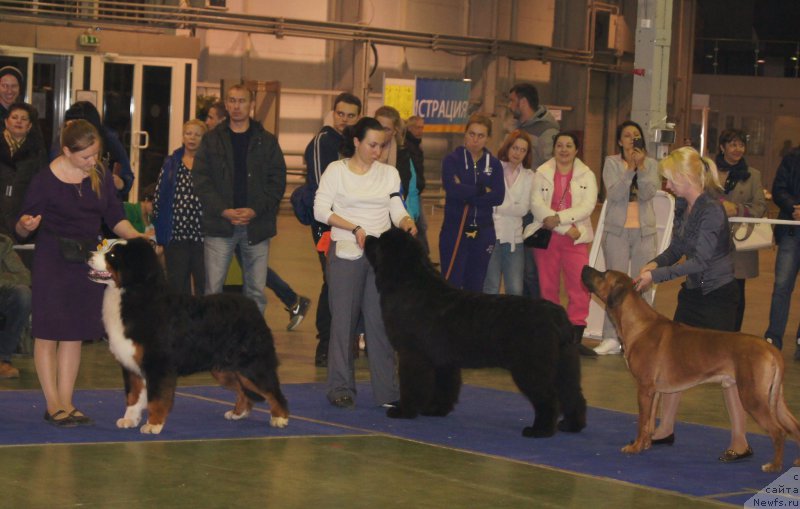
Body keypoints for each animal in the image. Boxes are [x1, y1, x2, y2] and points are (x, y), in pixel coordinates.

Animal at [89, 238, 290, 432]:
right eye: (105, 248)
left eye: (112, 255)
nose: (89, 254)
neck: (135, 294)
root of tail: (251, 305)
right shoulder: (131, 364)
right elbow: (133, 396)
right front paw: (130, 420)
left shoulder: (158, 365)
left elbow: (156, 399)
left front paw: (153, 424)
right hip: (224, 369)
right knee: (243, 390)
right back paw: (238, 413)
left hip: (252, 365)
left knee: (272, 390)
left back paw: (280, 418)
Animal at [366, 228, 584, 434]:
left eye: (380, 240)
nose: (367, 236)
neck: (409, 283)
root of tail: (557, 315)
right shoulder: (443, 359)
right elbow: (445, 386)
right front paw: (436, 410)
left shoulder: (412, 354)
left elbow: (412, 385)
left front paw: (404, 411)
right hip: (565, 364)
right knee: (571, 393)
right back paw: (571, 425)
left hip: (532, 367)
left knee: (548, 397)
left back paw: (540, 430)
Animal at [580, 266, 800, 472]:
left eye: (603, 274)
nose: (584, 268)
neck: (638, 324)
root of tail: (771, 348)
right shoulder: (654, 391)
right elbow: (649, 422)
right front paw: (645, 444)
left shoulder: (644, 388)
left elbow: (642, 421)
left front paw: (634, 448)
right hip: (774, 397)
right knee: (794, 425)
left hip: (752, 396)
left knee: (778, 431)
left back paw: (774, 465)